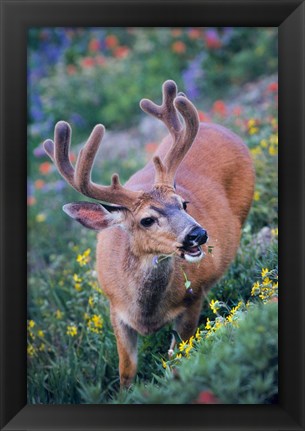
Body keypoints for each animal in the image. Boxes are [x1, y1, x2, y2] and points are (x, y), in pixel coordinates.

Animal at [42, 81, 252, 388]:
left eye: (183, 203)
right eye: (147, 220)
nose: (198, 234)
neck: (147, 313)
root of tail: (218, 127)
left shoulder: (194, 298)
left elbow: (178, 355)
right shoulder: (115, 309)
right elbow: (126, 370)